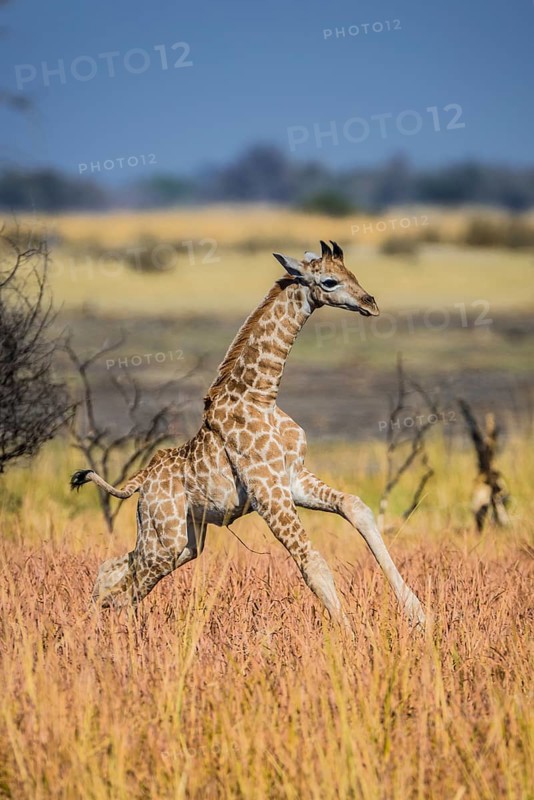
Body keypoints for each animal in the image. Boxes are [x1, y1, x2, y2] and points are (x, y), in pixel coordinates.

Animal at [71, 240, 426, 630]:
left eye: (352, 273)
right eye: (329, 281)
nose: (370, 303)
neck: (261, 395)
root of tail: (141, 480)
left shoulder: (292, 478)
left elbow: (356, 507)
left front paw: (419, 615)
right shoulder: (267, 490)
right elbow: (313, 563)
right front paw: (351, 638)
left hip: (185, 540)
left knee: (114, 570)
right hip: (166, 537)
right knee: (125, 587)